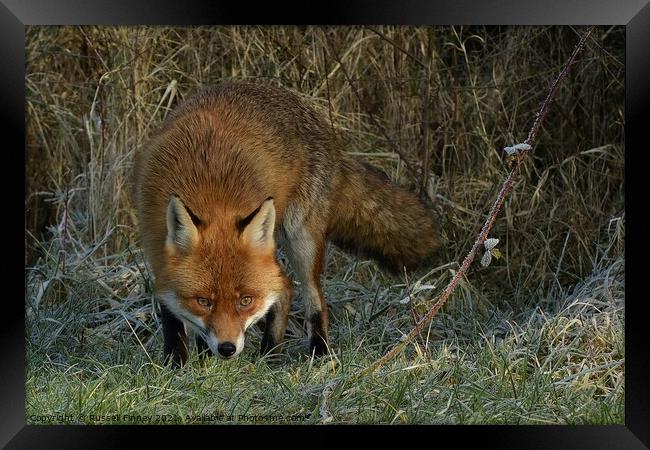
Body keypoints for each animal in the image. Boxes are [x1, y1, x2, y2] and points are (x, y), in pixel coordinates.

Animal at [133, 82, 436, 368]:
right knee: (284, 285)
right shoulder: (157, 252)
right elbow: (172, 319)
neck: (210, 192)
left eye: (245, 301)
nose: (227, 349)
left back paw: (303, 354)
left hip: (301, 238)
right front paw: (178, 365)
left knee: (307, 297)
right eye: (203, 301)